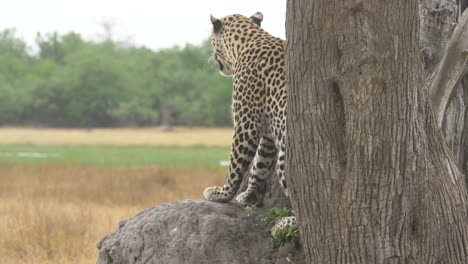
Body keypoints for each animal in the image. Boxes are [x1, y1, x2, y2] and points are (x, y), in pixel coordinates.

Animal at [203, 11, 294, 234]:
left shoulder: (246, 123)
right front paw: (249, 196)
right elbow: (259, 165)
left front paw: (222, 193)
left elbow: (235, 164)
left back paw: (285, 224)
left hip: (285, 156)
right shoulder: (268, 133)